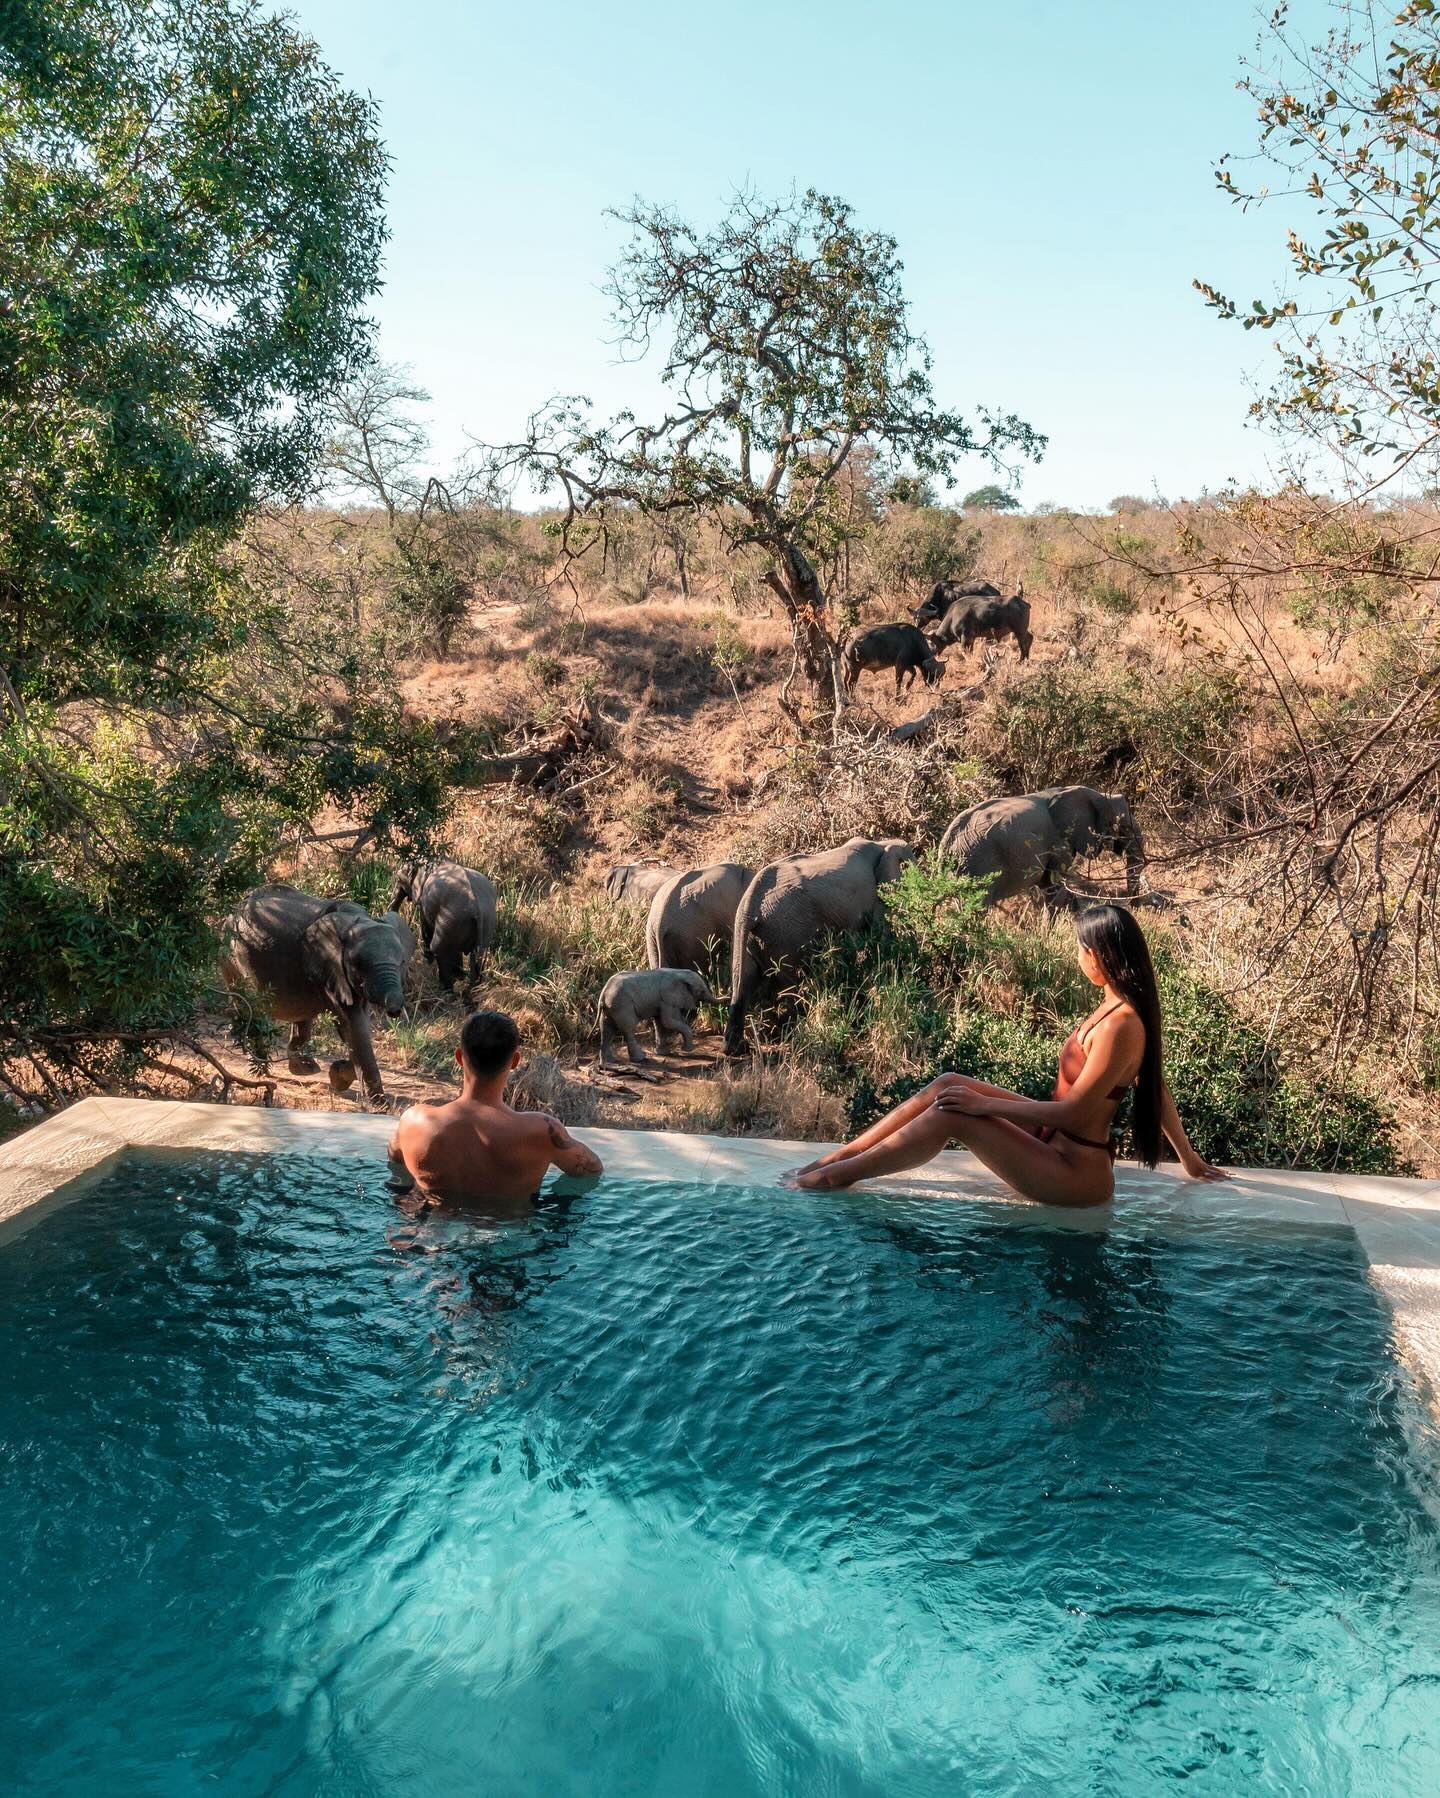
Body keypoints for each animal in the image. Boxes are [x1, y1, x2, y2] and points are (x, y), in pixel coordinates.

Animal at [219, 881, 413, 1093]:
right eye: (358, 964)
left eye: (402, 962)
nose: (395, 1011)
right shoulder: (331, 967)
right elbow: (353, 1025)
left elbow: (356, 1033)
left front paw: (337, 1076)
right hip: (231, 957)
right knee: (251, 1009)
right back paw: (261, 1068)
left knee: (300, 1016)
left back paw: (304, 1069)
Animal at [388, 859, 496, 992]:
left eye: (400, 879)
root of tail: (477, 910)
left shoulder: (425, 901)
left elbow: (425, 926)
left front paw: (428, 962)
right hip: (482, 923)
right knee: (477, 955)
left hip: (450, 918)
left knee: (438, 948)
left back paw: (446, 989)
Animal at [596, 970, 726, 1064]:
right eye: (702, 991)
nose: (727, 997)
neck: (680, 972)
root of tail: (604, 992)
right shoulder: (667, 999)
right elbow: (668, 1021)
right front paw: (687, 1050)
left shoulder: (662, 1001)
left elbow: (660, 1022)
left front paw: (664, 1053)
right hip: (622, 1005)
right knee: (628, 1029)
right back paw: (640, 1058)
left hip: (611, 1008)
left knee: (606, 1030)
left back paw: (609, 1062)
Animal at [726, 837, 916, 1057]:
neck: (883, 842)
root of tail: (750, 906)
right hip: (788, 933)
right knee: (792, 983)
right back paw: (794, 1035)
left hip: (751, 936)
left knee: (743, 980)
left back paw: (737, 1049)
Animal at [934, 787, 1143, 906]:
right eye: (1123, 827)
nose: (1132, 906)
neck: (1096, 794)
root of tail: (948, 842)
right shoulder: (1058, 843)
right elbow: (1054, 888)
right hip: (979, 865)